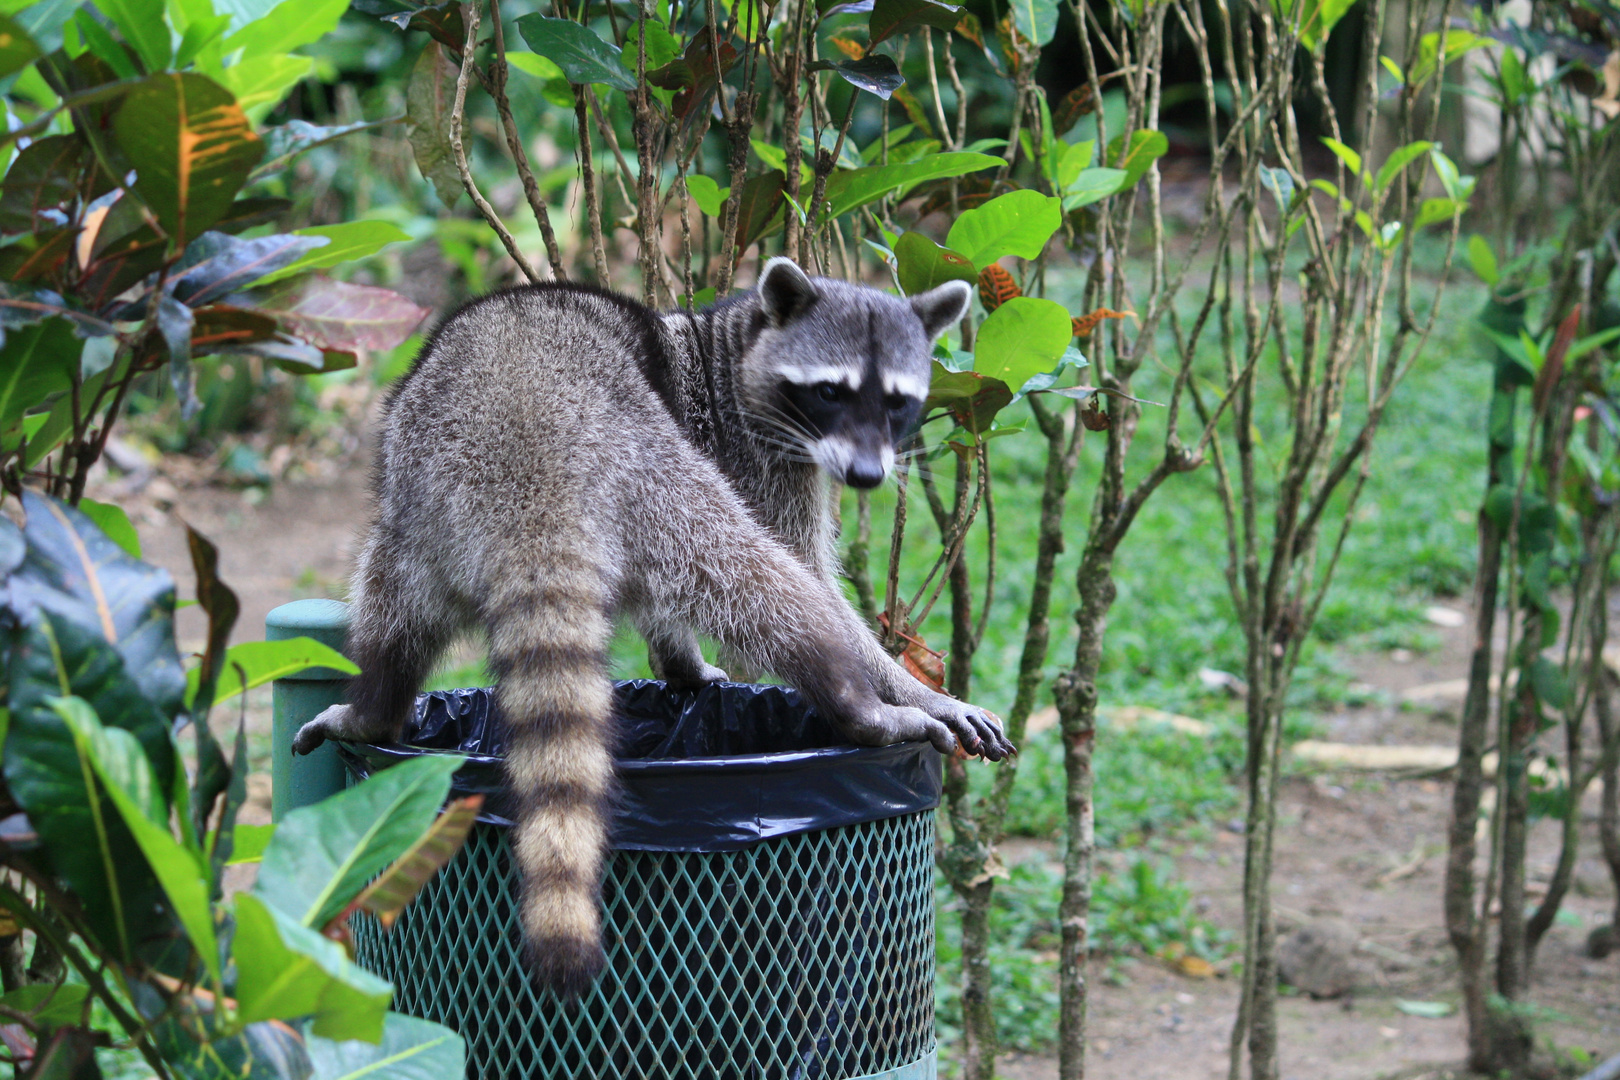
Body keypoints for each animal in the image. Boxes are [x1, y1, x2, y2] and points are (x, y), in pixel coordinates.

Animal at [291, 255, 1010, 997]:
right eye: (831, 392)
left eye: (897, 401)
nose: (868, 476)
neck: (730, 349)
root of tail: (528, 453)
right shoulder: (753, 455)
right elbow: (805, 573)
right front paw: (907, 684)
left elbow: (658, 599)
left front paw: (681, 662)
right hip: (645, 462)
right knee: (756, 576)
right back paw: (855, 702)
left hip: (421, 505)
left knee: (388, 607)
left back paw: (375, 708)